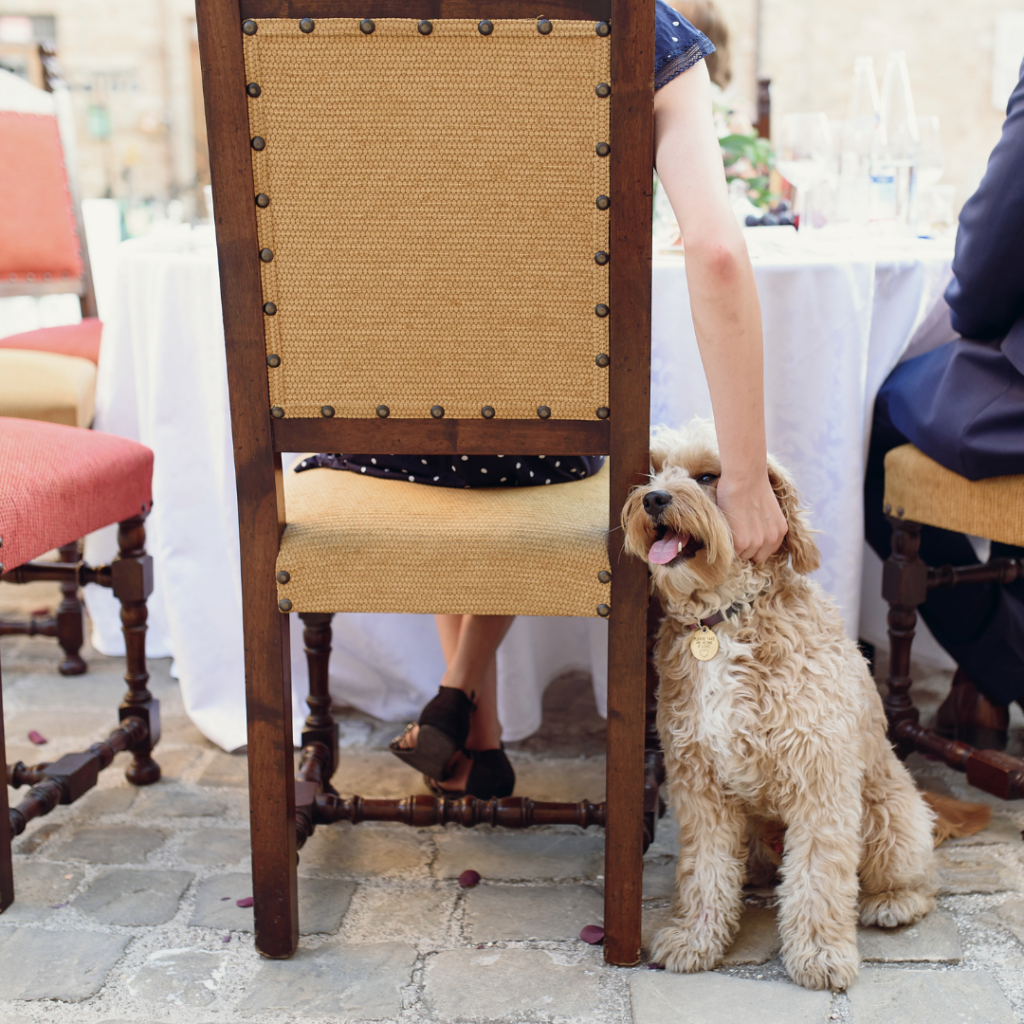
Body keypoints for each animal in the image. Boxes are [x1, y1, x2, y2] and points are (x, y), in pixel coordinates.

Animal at [622, 417, 937, 991]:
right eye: (654, 471)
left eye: (708, 476)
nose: (653, 498)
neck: (724, 620)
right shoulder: (699, 782)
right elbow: (704, 869)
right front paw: (696, 937)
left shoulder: (822, 782)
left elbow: (818, 876)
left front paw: (819, 954)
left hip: (891, 818)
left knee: (918, 878)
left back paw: (893, 901)